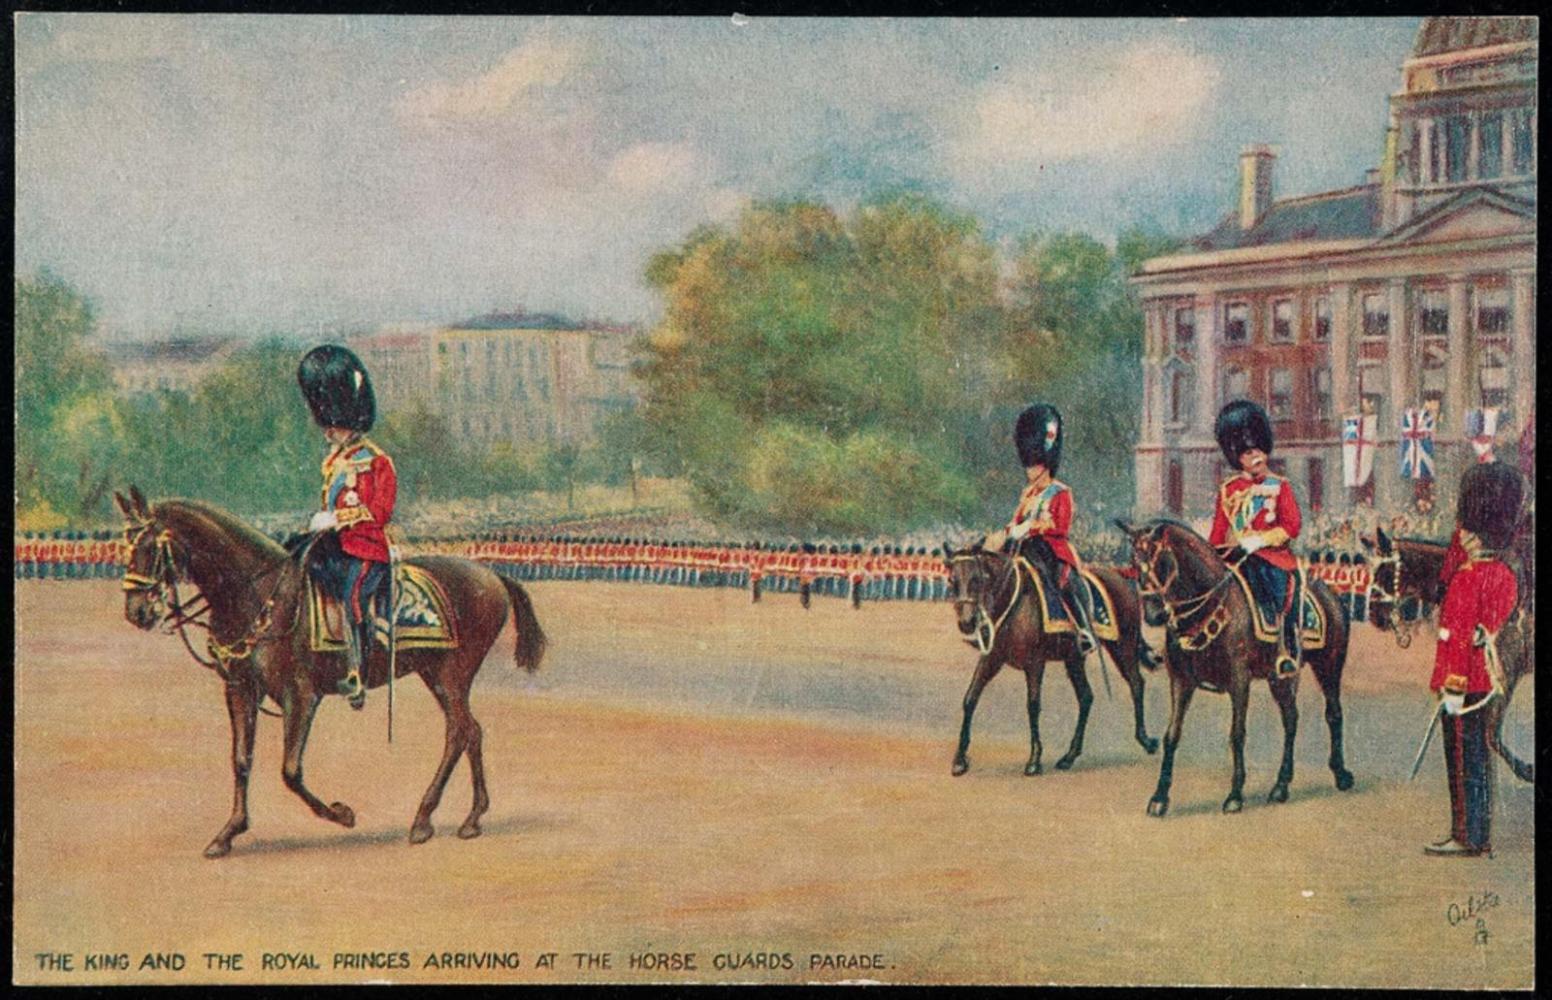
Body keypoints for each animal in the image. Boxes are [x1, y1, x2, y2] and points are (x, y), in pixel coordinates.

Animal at [112, 487, 546, 857]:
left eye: (151, 547)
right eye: (127, 546)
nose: (136, 612)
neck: (259, 595)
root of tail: (491, 575)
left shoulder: (301, 696)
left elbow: (290, 771)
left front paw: (340, 813)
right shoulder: (239, 689)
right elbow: (240, 760)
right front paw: (228, 832)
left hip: (451, 674)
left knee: (458, 732)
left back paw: (424, 819)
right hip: (436, 674)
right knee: (471, 730)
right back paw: (472, 817)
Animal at [937, 543, 1160, 776]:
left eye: (977, 579)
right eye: (952, 581)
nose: (967, 622)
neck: (1012, 599)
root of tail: (1122, 578)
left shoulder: (1035, 663)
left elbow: (1033, 705)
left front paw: (1034, 759)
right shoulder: (991, 658)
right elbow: (970, 699)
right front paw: (960, 759)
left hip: (1123, 645)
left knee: (1136, 683)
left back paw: (1145, 740)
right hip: (1074, 658)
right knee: (1086, 697)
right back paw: (1069, 756)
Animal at [1111, 518, 1353, 813]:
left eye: (1163, 561)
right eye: (1134, 563)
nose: (1154, 614)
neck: (1209, 606)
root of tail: (1329, 593)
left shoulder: (1239, 681)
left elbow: (1237, 734)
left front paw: (1235, 794)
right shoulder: (1181, 680)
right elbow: (1172, 735)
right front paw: (1160, 797)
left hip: (1329, 665)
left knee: (1334, 714)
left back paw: (1340, 774)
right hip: (1280, 678)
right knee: (1291, 719)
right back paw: (1281, 785)